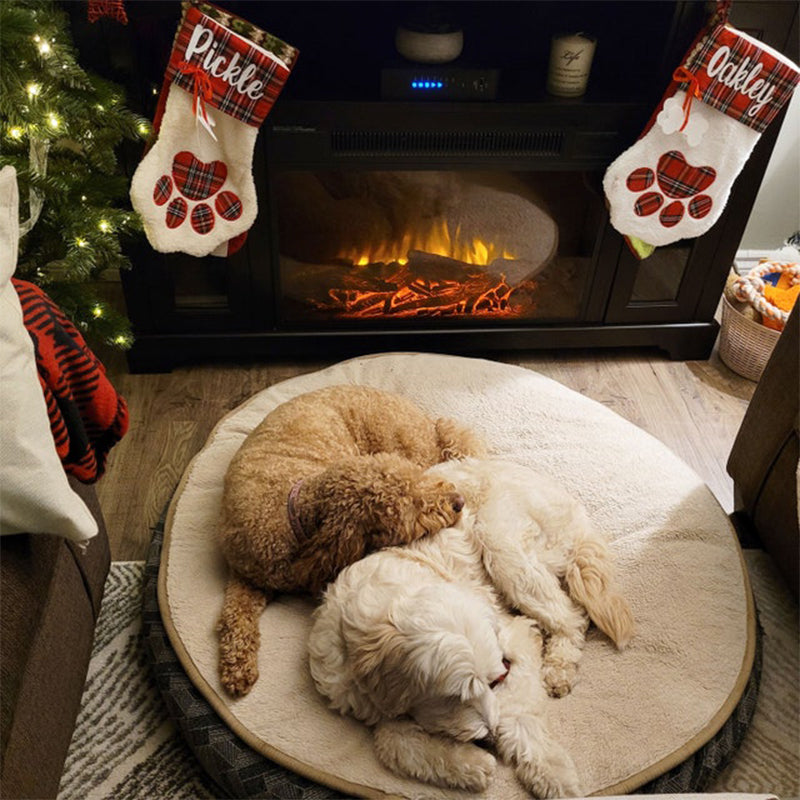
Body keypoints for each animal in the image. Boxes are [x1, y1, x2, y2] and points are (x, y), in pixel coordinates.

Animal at [216, 384, 484, 696]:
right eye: (413, 508)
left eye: (419, 479)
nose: (458, 501)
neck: (295, 511)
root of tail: (427, 420)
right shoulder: (245, 577)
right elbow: (234, 615)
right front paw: (237, 667)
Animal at [310, 460, 636, 796]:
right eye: (454, 697)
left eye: (495, 680)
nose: (487, 737)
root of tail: (576, 511)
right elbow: (392, 741)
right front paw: (469, 765)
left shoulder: (517, 637)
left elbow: (517, 713)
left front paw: (552, 775)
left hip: (500, 541)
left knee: (571, 617)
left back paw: (559, 668)